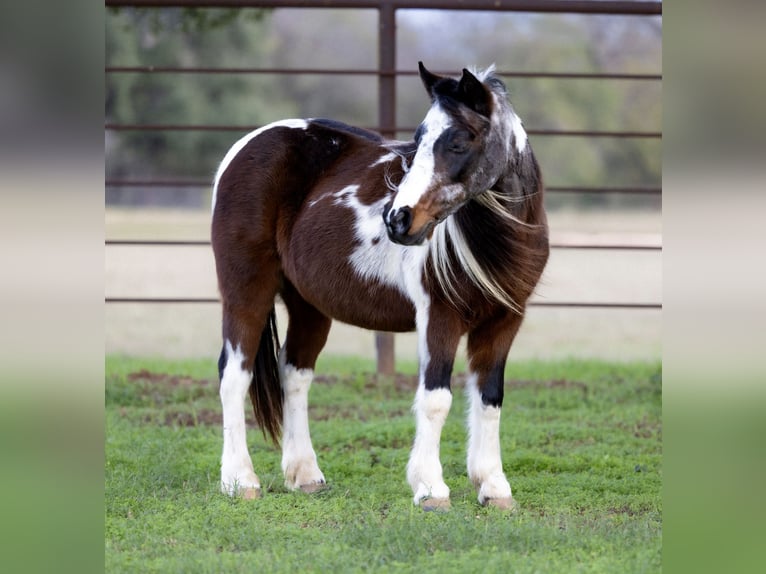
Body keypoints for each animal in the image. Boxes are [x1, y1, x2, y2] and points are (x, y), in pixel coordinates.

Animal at [211, 62, 549, 510]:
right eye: (419, 140)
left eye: (459, 141)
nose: (397, 219)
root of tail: (244, 147)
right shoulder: (439, 318)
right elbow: (436, 399)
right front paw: (430, 488)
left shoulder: (504, 321)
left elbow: (490, 398)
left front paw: (493, 486)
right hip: (246, 292)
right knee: (234, 374)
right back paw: (239, 480)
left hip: (308, 306)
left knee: (294, 374)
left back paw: (306, 475)